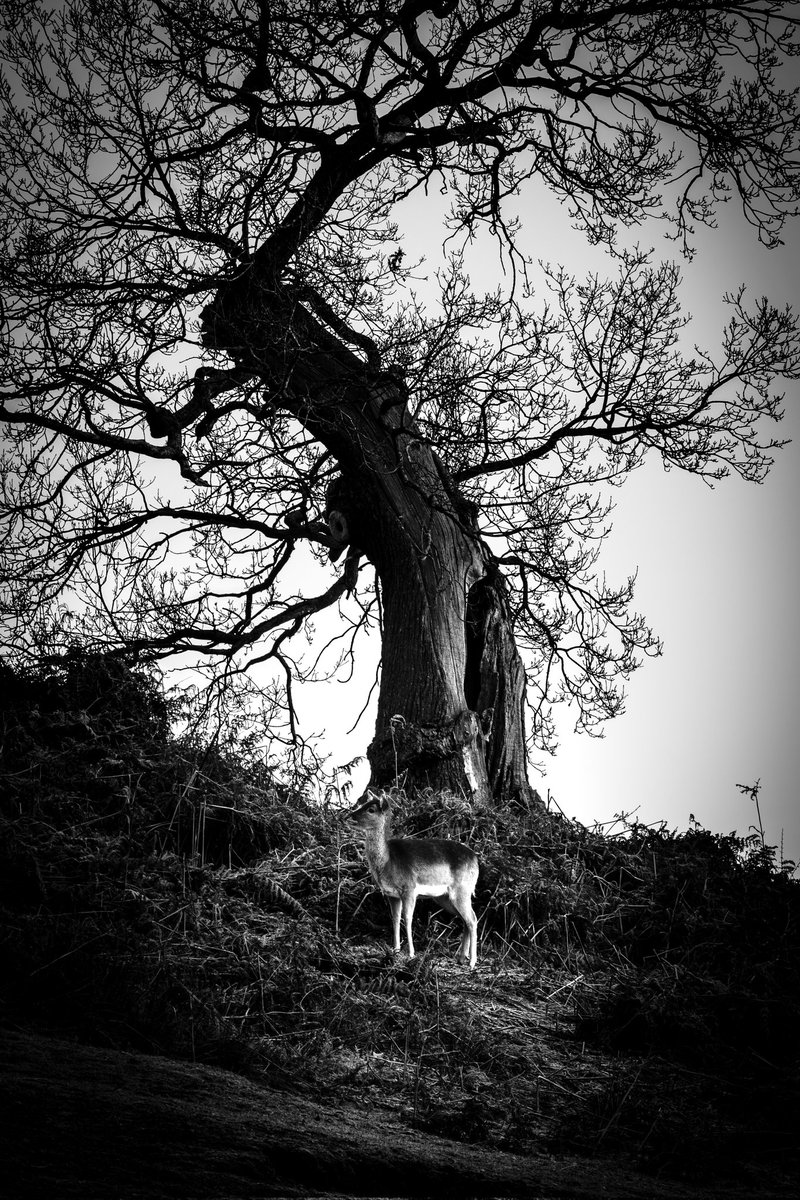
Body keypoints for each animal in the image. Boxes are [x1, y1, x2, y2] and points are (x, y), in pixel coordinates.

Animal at [344, 791, 479, 968]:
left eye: (371, 809)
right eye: (361, 804)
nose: (348, 817)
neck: (388, 862)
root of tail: (476, 859)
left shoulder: (409, 889)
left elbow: (407, 918)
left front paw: (411, 953)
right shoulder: (392, 894)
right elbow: (395, 918)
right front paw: (395, 950)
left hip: (462, 890)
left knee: (473, 919)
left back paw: (472, 962)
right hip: (444, 897)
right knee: (465, 920)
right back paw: (462, 957)